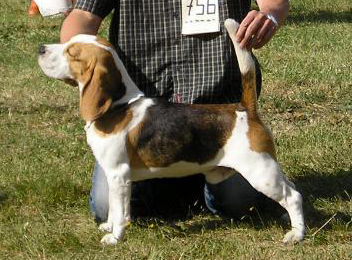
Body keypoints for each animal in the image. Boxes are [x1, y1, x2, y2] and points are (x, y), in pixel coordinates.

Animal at [37, 19, 304, 245]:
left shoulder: (118, 175)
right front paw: (109, 227)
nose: (40, 48)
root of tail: (244, 109)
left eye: (72, 53)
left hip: (260, 171)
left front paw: (115, 238)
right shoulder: (115, 178)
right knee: (292, 187)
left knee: (293, 196)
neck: (119, 106)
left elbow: (120, 212)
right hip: (265, 168)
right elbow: (114, 209)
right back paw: (287, 220)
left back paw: (296, 234)